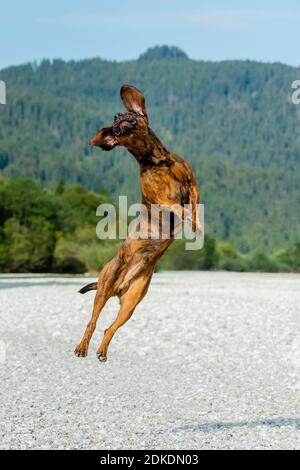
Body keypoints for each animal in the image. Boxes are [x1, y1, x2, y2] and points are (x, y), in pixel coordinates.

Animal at [75, 84, 202, 362]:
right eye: (115, 124)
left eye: (128, 113)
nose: (116, 117)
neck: (156, 161)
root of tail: (118, 286)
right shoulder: (161, 200)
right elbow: (178, 206)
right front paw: (187, 218)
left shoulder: (193, 186)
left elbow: (194, 205)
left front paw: (196, 225)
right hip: (103, 289)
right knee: (92, 321)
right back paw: (82, 347)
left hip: (131, 304)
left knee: (109, 328)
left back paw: (102, 351)